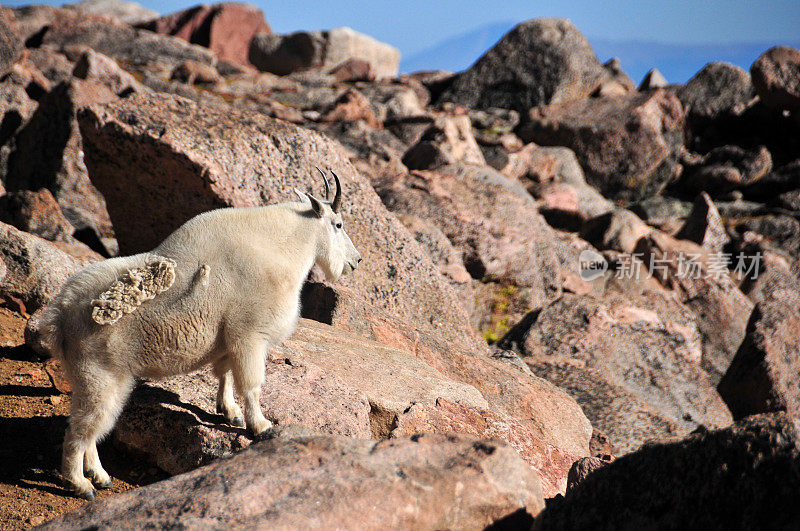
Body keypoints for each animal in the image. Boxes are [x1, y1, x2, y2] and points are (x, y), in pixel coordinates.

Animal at [38, 169, 360, 498]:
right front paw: (261, 425)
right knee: (80, 431)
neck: (278, 246)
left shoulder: (230, 337)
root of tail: (59, 315)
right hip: (98, 375)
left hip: (98, 379)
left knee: (91, 426)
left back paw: (100, 476)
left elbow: (225, 373)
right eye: (338, 224)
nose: (356, 261)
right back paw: (80, 484)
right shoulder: (250, 334)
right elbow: (252, 384)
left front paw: (229, 411)